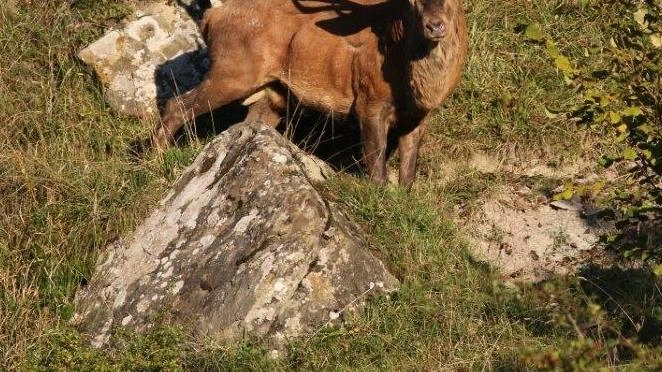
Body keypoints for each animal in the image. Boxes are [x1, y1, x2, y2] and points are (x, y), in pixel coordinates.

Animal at [153, 0, 470, 186]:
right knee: (175, 105)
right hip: (233, 69)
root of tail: (211, 15)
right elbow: (376, 165)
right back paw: (160, 162)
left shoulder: (419, 116)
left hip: (273, 94)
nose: (435, 26)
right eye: (411, 0)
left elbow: (408, 172)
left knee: (246, 125)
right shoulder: (370, 99)